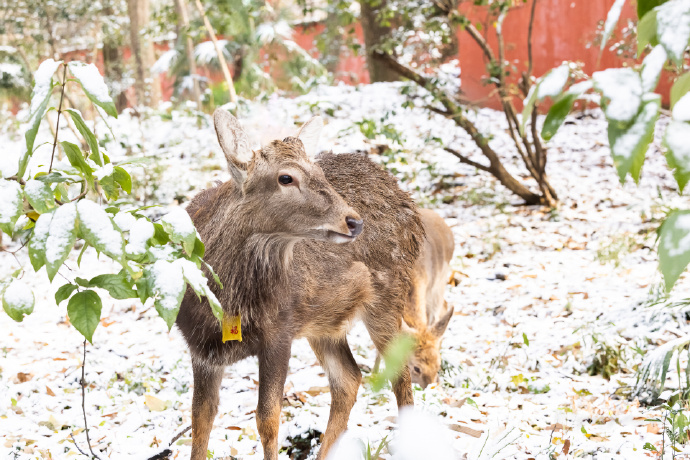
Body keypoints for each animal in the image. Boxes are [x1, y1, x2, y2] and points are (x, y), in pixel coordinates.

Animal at [175, 108, 422, 460]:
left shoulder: (279, 331)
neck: (227, 305)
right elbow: (200, 419)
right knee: (349, 378)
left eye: (319, 172)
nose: (353, 221)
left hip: (388, 294)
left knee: (399, 374)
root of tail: (409, 204)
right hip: (323, 321)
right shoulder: (200, 349)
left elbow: (267, 417)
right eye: (286, 177)